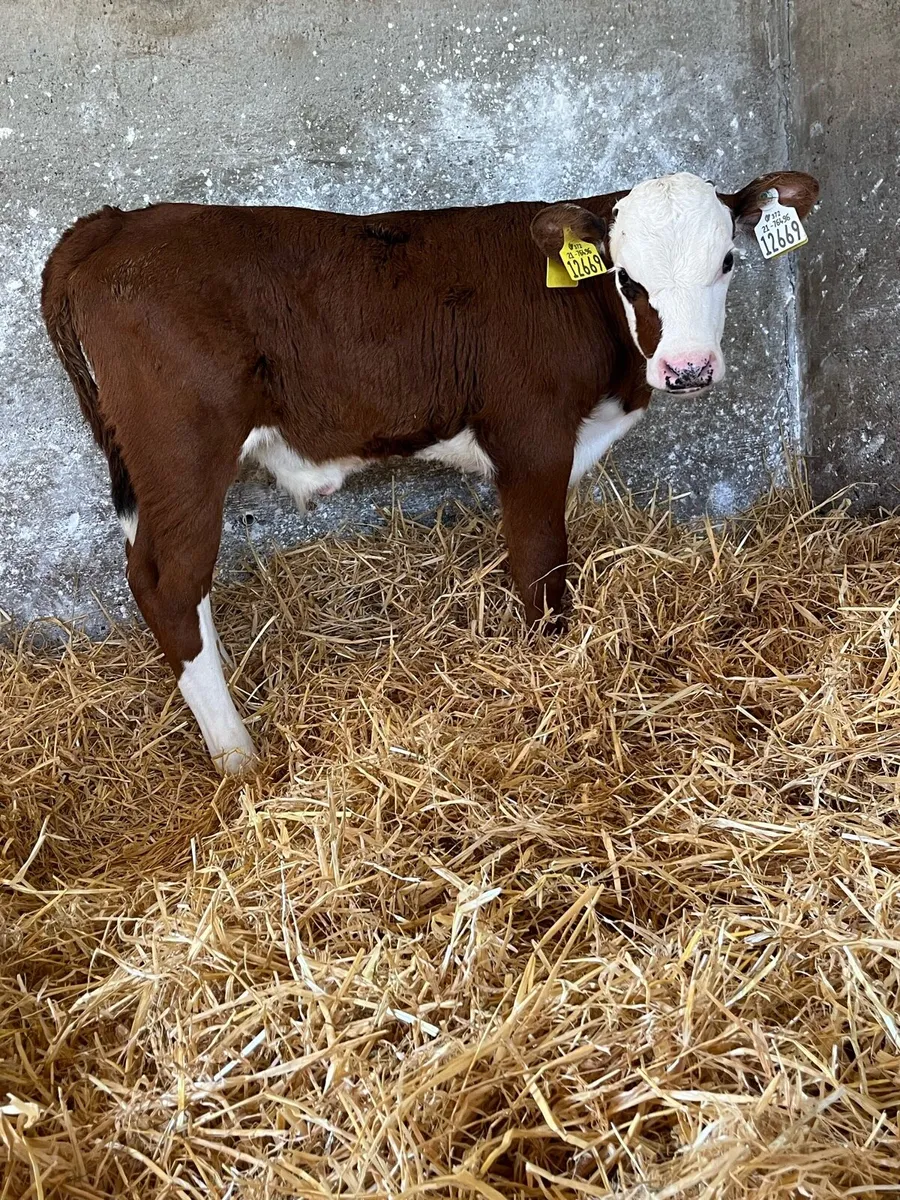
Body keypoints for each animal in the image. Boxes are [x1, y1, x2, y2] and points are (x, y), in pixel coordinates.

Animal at [41, 169, 819, 774]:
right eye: (629, 279)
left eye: (727, 261)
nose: (688, 369)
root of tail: (118, 223)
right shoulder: (531, 439)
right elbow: (540, 567)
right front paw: (548, 678)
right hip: (183, 448)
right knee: (171, 586)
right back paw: (239, 757)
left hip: (144, 467)